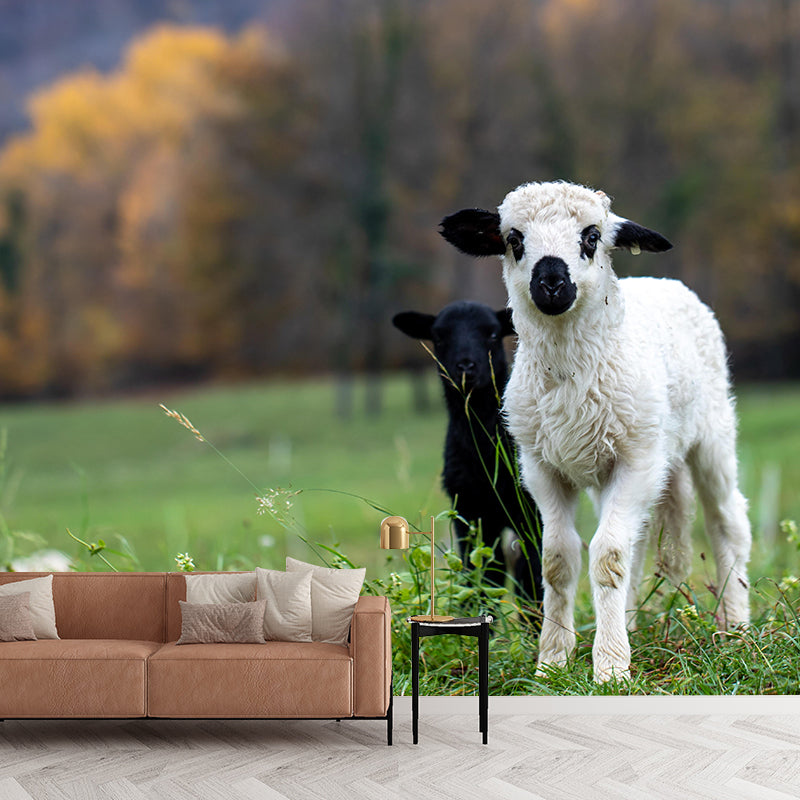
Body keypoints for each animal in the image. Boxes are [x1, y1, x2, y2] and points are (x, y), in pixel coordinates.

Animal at [393, 301, 543, 607]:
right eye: (438, 337)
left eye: (493, 334)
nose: (465, 366)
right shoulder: (469, 511)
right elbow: (480, 576)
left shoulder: (530, 511)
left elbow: (531, 576)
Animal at [439, 181, 751, 682]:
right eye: (513, 239)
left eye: (591, 236)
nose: (550, 283)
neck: (571, 375)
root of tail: (662, 281)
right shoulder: (541, 468)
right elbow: (558, 559)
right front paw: (553, 661)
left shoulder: (636, 460)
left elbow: (607, 557)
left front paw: (610, 668)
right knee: (638, 543)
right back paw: (631, 623)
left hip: (712, 434)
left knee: (727, 523)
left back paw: (736, 629)